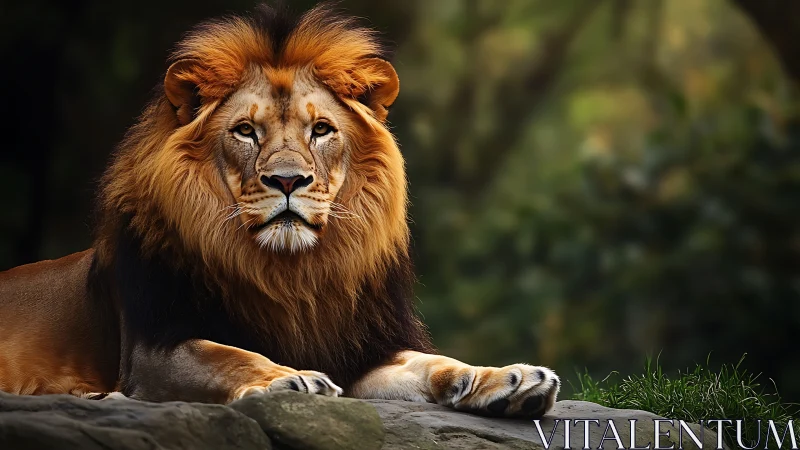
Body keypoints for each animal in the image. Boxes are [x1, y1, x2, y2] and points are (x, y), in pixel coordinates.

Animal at [0, 4, 560, 418]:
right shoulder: (152, 348)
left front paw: (506, 379)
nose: (288, 180)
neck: (291, 273)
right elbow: (227, 355)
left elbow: (434, 362)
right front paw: (290, 378)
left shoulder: (363, 351)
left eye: (322, 130)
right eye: (246, 131)